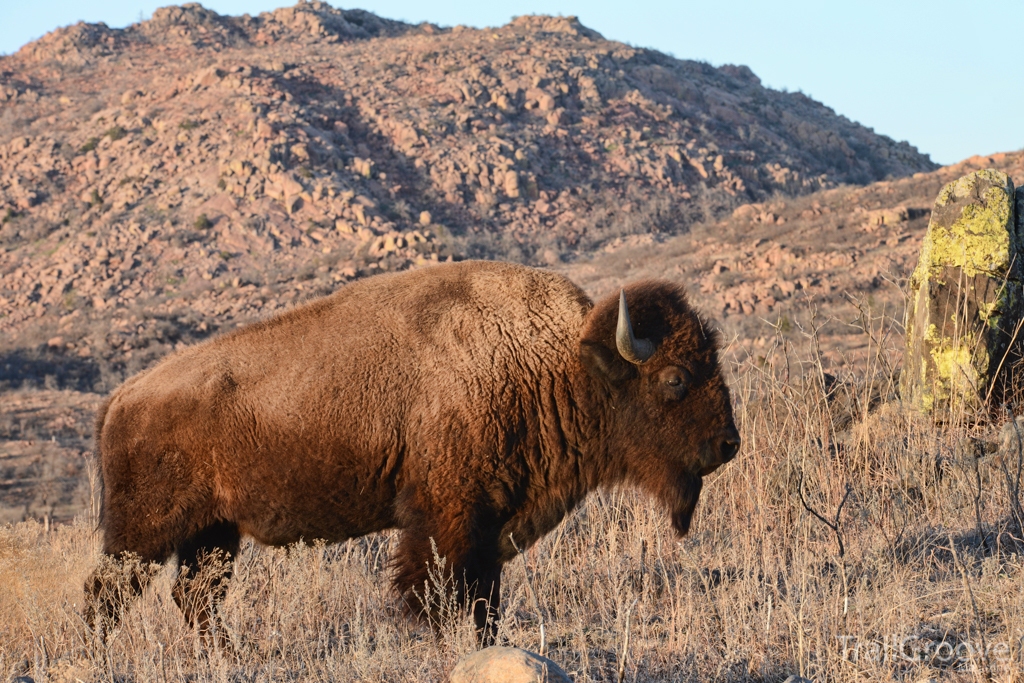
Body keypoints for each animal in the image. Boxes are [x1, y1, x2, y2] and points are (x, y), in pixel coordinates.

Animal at [86, 259, 737, 643]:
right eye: (675, 378)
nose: (728, 444)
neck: (559, 364)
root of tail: (121, 397)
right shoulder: (450, 518)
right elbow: (448, 594)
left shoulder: (489, 526)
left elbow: (484, 599)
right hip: (143, 534)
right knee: (108, 595)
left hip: (213, 533)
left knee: (194, 596)